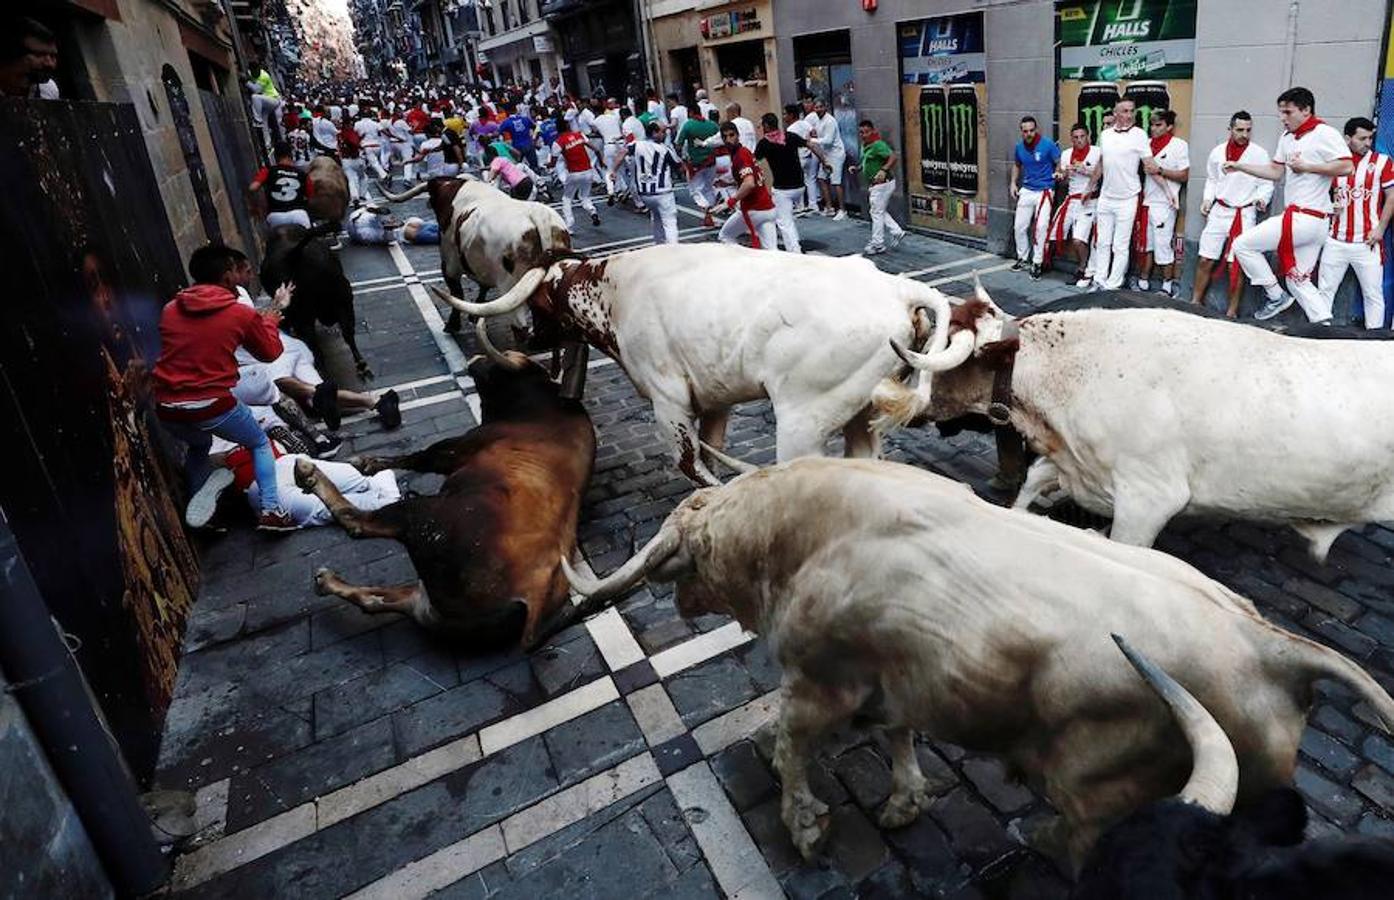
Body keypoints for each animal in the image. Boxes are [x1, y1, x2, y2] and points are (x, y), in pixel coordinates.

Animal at [294, 345, 593, 649]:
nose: (476, 359)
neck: (542, 400)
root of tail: (531, 609)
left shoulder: (457, 447)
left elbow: (419, 457)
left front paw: (366, 462)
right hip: (426, 604)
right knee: (376, 600)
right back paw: (328, 581)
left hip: (424, 518)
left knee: (356, 522)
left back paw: (309, 473)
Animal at [379, 174, 568, 332]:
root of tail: (538, 214)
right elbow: (482, 290)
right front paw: (473, 316)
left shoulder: (449, 264)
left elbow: (457, 293)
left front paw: (452, 325)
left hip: (511, 288)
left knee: (520, 325)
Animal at [429, 243, 964, 487]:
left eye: (539, 302)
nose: (525, 334)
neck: (614, 293)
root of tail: (896, 288)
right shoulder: (714, 399)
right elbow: (712, 450)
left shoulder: (668, 403)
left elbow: (691, 463)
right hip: (861, 415)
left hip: (803, 421)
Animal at [560, 462, 1394, 869]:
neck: (801, 536)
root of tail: (1275, 649)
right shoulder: (900, 675)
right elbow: (898, 734)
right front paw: (904, 801)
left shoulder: (824, 681)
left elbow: (796, 746)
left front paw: (802, 821)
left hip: (1103, 792)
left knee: (1082, 837)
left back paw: (1042, 842)